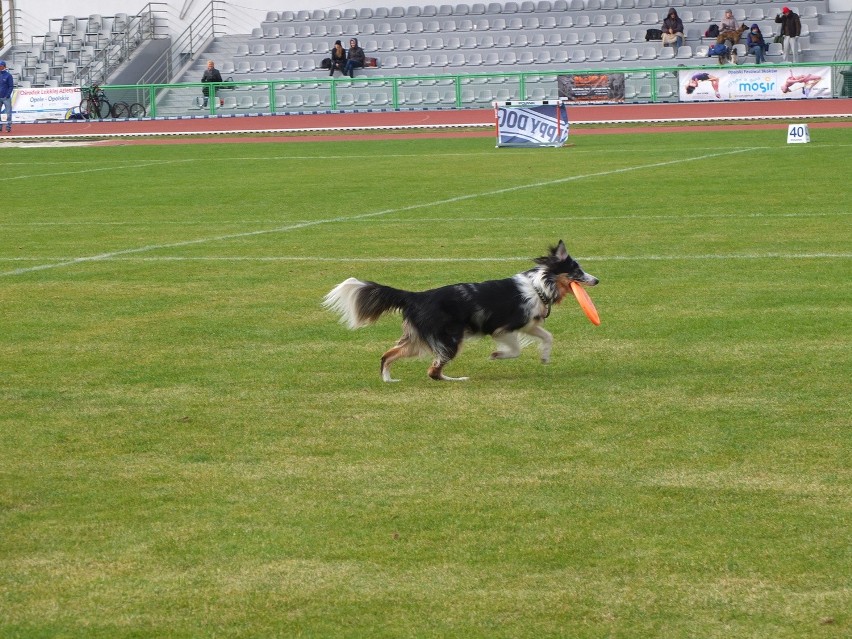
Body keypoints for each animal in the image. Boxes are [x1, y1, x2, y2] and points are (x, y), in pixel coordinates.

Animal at [322, 239, 600, 380]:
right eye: (577, 271)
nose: (597, 280)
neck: (539, 285)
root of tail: (418, 296)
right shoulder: (503, 328)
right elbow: (516, 350)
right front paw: (497, 355)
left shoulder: (529, 324)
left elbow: (548, 337)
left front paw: (544, 357)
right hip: (450, 339)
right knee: (433, 371)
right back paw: (457, 379)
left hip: (418, 340)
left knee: (388, 355)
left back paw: (388, 378)